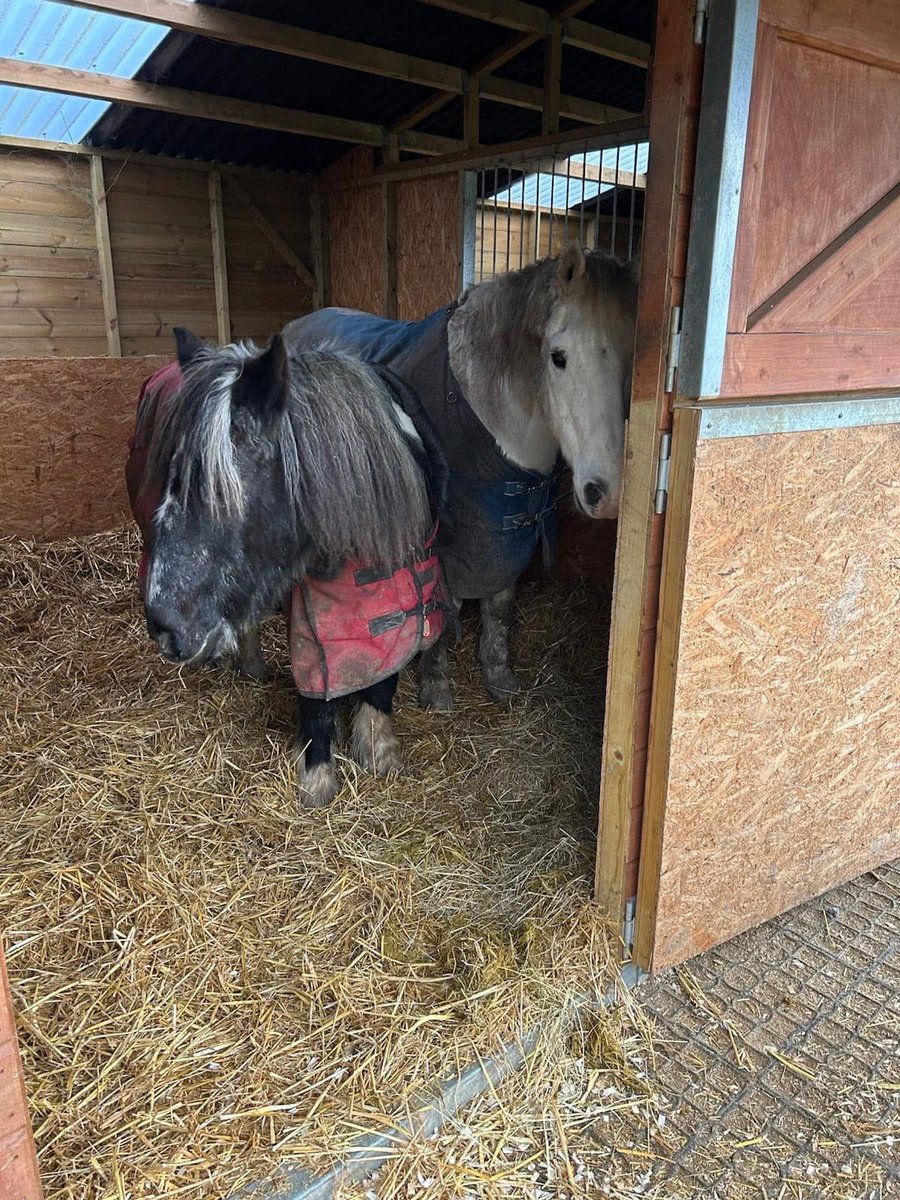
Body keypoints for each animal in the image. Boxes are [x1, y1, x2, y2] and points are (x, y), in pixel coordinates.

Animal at [126, 327, 450, 807]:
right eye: (171, 476)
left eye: (220, 491)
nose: (164, 629)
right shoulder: (315, 619)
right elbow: (317, 694)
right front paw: (316, 777)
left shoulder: (395, 601)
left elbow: (382, 676)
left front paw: (379, 751)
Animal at [283, 244, 638, 710]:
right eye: (558, 357)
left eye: (633, 360)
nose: (606, 493)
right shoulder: (447, 544)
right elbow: (444, 608)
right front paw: (436, 689)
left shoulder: (507, 536)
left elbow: (501, 605)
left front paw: (500, 677)